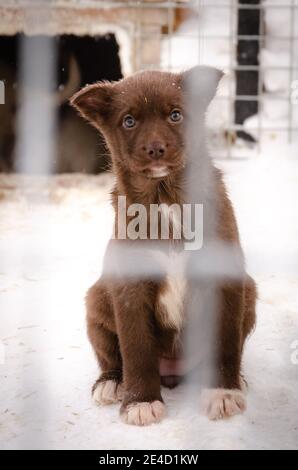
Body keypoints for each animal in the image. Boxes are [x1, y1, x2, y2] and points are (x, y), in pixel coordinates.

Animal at [70, 69, 256, 426]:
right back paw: (111, 383)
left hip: (249, 292)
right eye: (129, 121)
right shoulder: (129, 287)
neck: (164, 198)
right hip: (96, 299)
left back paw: (237, 379)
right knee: (112, 359)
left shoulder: (224, 278)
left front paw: (223, 394)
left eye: (175, 115)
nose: (155, 149)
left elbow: (225, 342)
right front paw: (140, 403)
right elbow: (136, 349)